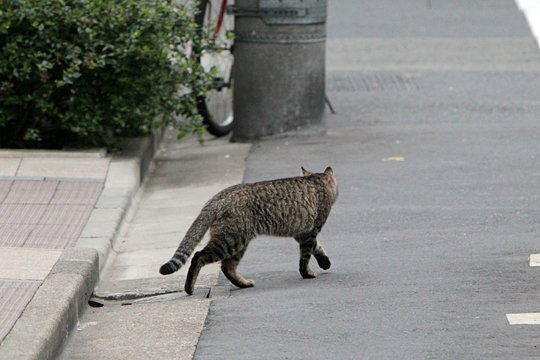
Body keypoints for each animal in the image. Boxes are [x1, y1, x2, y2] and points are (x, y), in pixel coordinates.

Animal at [159, 167, 338, 294]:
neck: (317, 182)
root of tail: (217, 198)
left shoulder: (301, 234)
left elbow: (318, 248)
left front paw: (325, 262)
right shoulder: (310, 232)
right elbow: (305, 257)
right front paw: (307, 273)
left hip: (238, 243)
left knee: (227, 267)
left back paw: (244, 283)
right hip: (230, 241)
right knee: (199, 257)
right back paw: (189, 288)